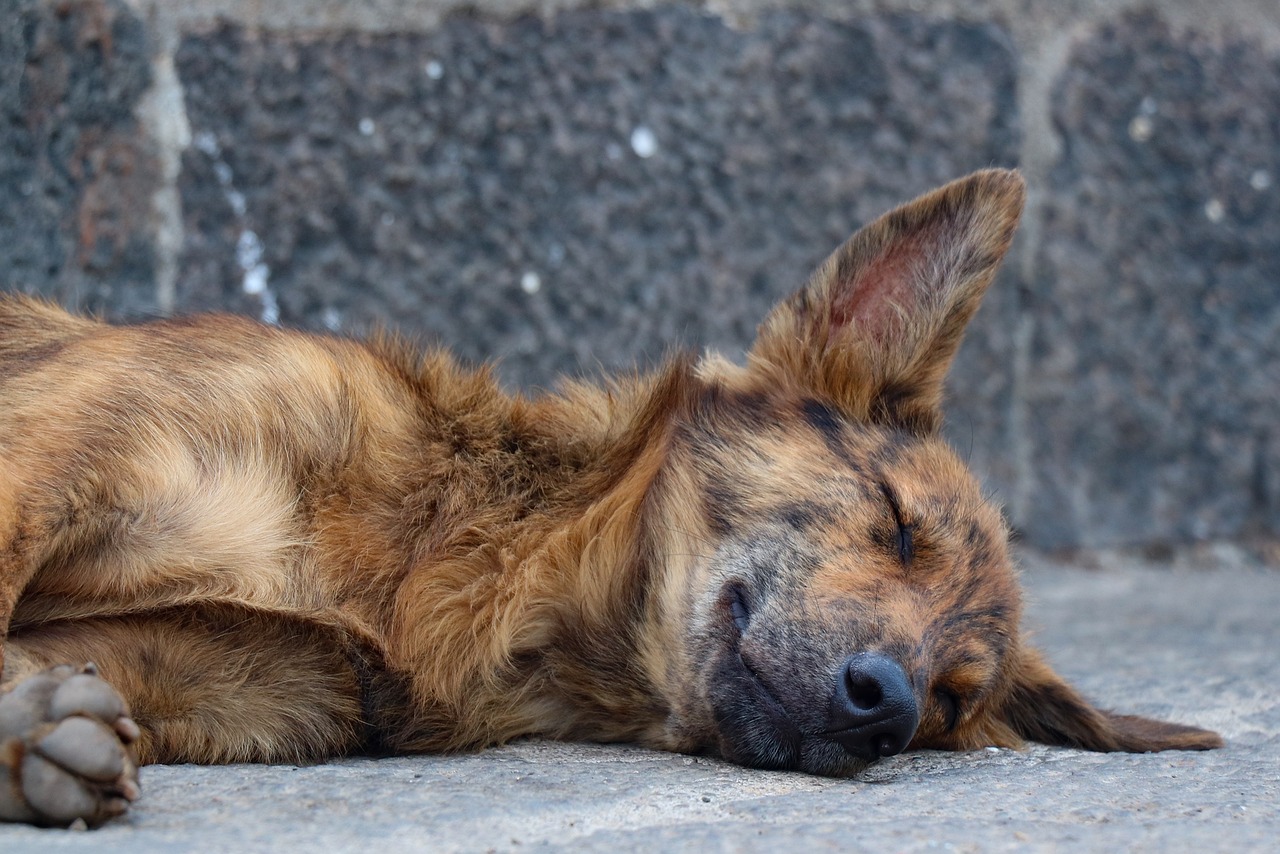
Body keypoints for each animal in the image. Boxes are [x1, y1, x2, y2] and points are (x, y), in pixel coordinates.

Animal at [0, 169, 1218, 829]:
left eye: (956, 702)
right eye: (894, 520)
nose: (886, 703)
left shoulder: (265, 684)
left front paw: (33, 739)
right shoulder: (52, 450)